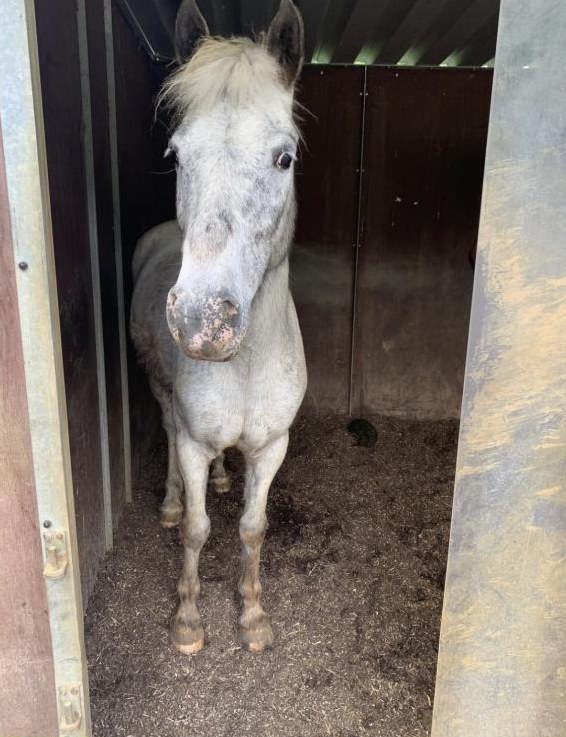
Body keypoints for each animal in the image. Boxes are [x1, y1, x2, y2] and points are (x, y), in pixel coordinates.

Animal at [130, 0, 307, 654]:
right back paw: (170, 503)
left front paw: (252, 615)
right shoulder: (189, 440)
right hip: (160, 395)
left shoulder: (273, 446)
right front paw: (188, 618)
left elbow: (253, 528)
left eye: (285, 157)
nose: (203, 319)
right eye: (177, 156)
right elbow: (199, 529)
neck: (246, 363)